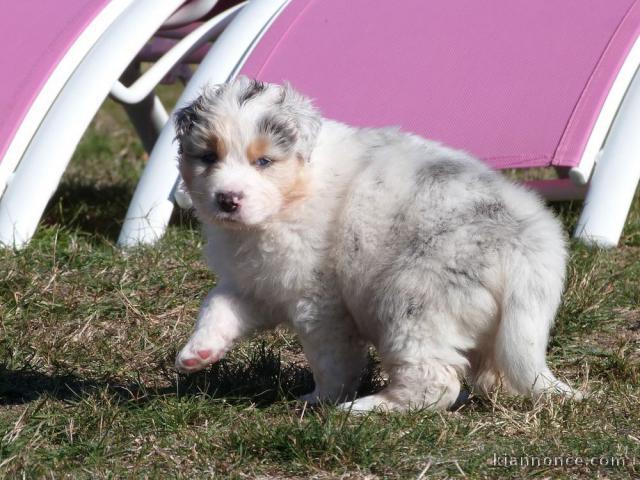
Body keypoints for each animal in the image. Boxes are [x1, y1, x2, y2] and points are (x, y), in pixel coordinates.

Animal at [170, 77, 580, 410]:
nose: (227, 199)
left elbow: (330, 361)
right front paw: (196, 353)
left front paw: (318, 399)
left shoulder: (319, 304)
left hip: (413, 302)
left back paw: (366, 408)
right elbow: (218, 304)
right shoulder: (259, 283)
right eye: (208, 157)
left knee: (434, 383)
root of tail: (527, 243)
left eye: (264, 161)